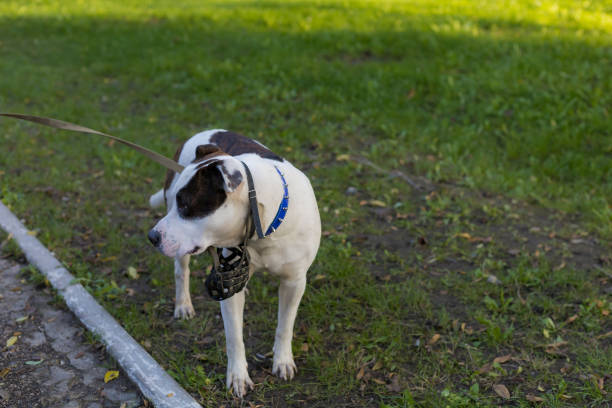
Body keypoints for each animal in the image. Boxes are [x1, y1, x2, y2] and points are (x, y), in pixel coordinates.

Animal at [146, 130, 322, 396]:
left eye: (185, 205)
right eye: (178, 202)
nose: (152, 236)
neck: (263, 228)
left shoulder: (294, 282)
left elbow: (285, 325)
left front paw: (282, 361)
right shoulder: (227, 281)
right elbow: (234, 336)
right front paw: (238, 376)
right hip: (181, 250)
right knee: (181, 271)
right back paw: (183, 304)